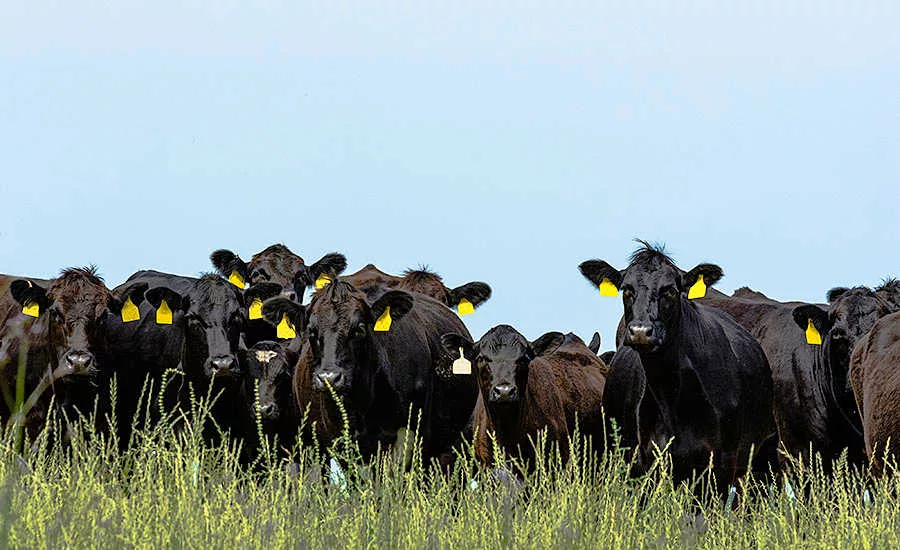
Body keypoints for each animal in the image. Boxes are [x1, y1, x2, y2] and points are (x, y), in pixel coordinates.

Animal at [579, 242, 777, 488]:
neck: (673, 395)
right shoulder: (648, 463)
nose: (640, 332)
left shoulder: (722, 465)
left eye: (670, 290)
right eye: (626, 289)